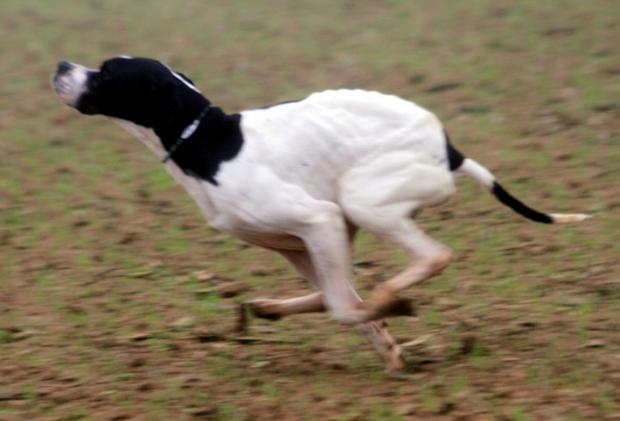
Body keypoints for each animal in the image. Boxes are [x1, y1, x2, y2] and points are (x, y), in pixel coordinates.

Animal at [52, 55, 588, 370]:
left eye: (106, 73)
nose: (60, 64)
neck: (208, 141)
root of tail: (448, 150)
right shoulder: (302, 242)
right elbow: (341, 302)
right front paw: (389, 347)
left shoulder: (322, 220)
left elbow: (344, 307)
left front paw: (391, 314)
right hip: (352, 218)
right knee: (345, 290)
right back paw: (279, 307)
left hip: (362, 201)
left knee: (431, 258)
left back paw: (392, 295)